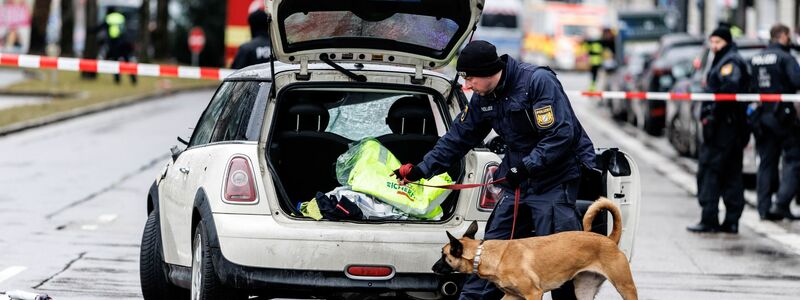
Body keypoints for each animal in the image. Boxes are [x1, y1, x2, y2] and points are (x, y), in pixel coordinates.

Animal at [432, 198, 636, 298]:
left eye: (443, 255)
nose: (433, 268)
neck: (484, 254)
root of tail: (609, 239)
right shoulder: (512, 297)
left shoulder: (533, 294)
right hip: (584, 290)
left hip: (626, 287)